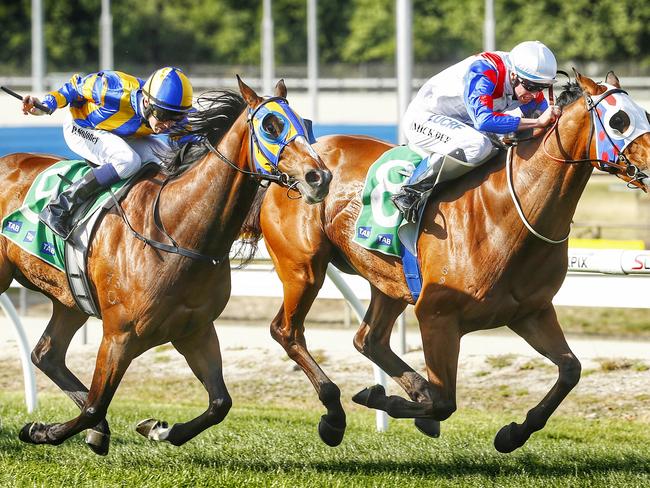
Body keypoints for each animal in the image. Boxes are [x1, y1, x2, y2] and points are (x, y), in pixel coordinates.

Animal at [0, 76, 330, 454]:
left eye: (302, 122)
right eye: (271, 126)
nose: (319, 176)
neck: (177, 232)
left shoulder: (195, 330)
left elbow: (220, 403)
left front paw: (159, 429)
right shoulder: (119, 335)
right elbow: (96, 404)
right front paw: (43, 431)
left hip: (70, 298)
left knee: (46, 354)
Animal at [254, 71, 648, 450]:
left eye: (645, 113)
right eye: (619, 120)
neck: (511, 211)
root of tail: (288, 165)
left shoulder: (530, 312)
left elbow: (570, 370)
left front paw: (512, 434)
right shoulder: (437, 315)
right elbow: (444, 402)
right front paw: (384, 399)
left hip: (389, 281)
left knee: (369, 339)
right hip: (304, 269)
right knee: (286, 330)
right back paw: (335, 416)